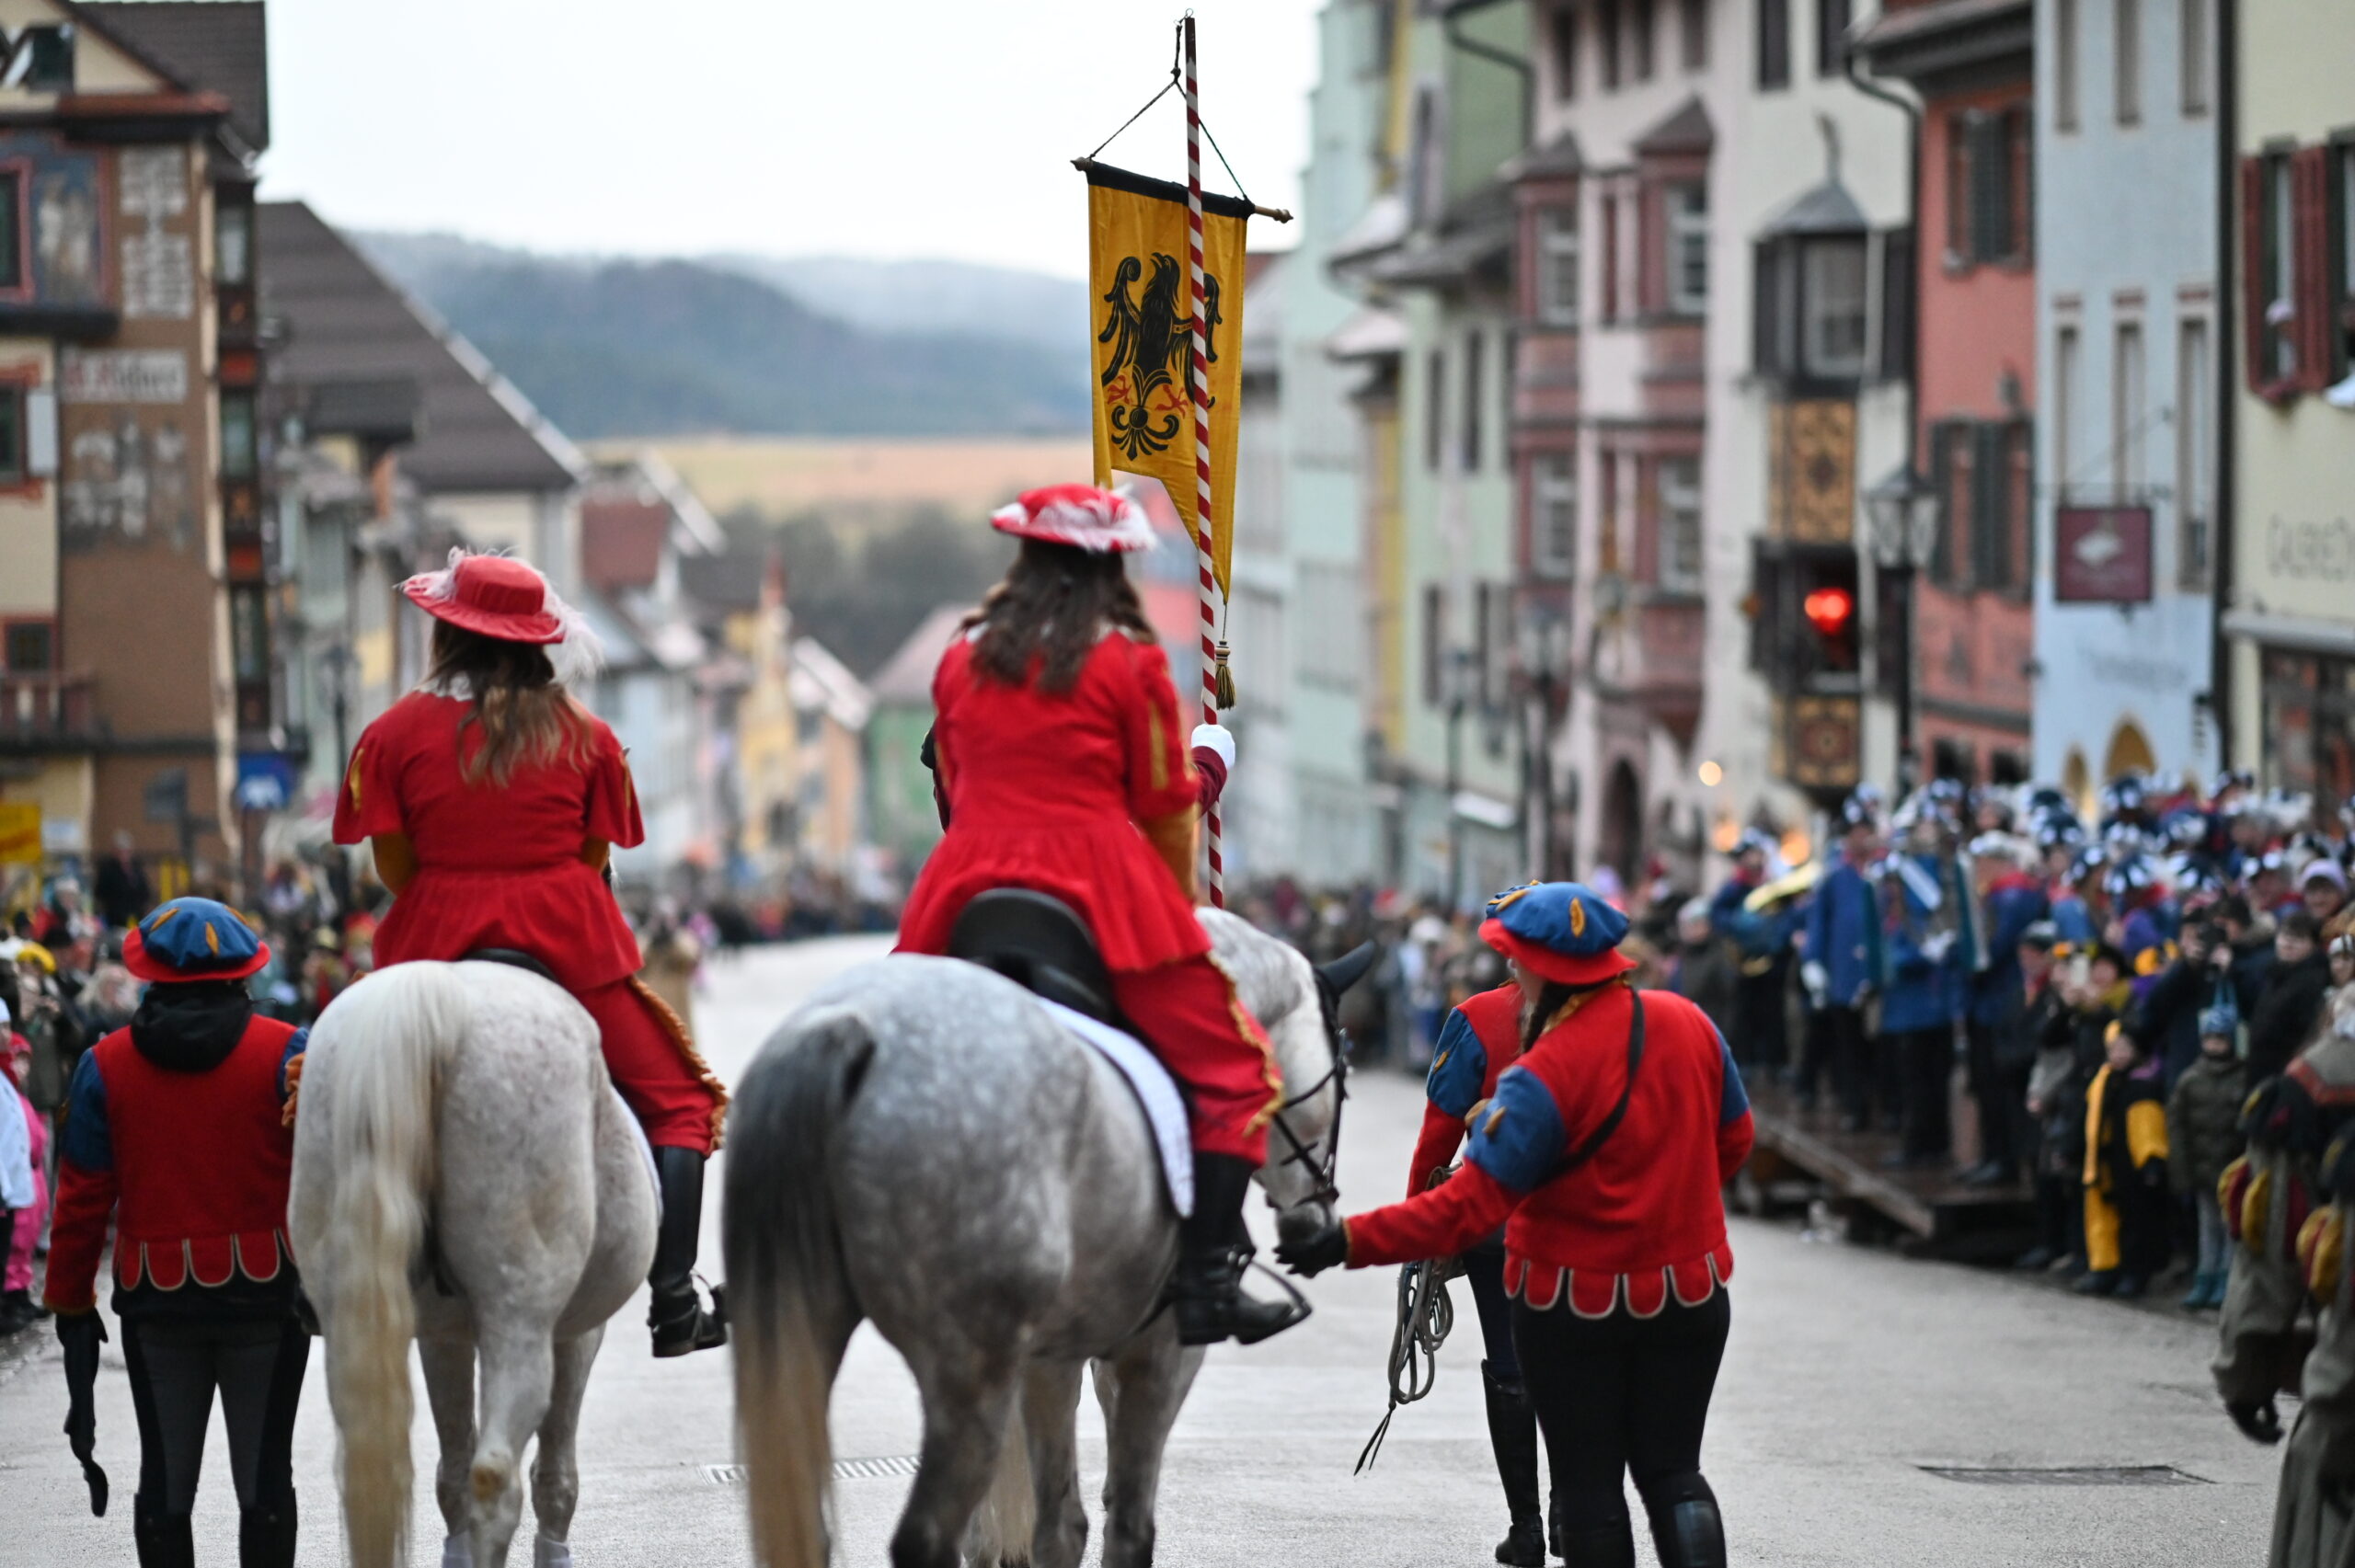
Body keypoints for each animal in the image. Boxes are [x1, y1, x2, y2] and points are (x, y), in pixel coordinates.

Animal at [288, 960, 660, 1568]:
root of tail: (439, 993)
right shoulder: (578, 1333)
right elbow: (554, 1473)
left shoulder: (441, 1335)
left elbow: (452, 1470)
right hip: (521, 1316)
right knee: (496, 1476)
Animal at [724, 906, 1370, 1568]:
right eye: (1343, 1073)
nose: (1316, 1226)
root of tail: (847, 1029)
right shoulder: (1159, 1355)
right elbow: (1125, 1523)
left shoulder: (1050, 1358)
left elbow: (1061, 1522)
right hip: (972, 1365)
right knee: (927, 1533)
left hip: (812, 1336)